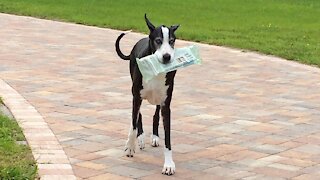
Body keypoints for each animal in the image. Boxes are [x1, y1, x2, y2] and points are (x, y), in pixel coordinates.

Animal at [115, 14, 180, 175]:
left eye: (172, 41)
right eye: (158, 41)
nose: (167, 56)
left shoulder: (166, 104)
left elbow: (168, 137)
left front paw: (169, 164)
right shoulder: (136, 97)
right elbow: (133, 124)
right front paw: (130, 146)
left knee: (155, 115)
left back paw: (155, 137)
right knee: (138, 115)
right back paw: (140, 138)